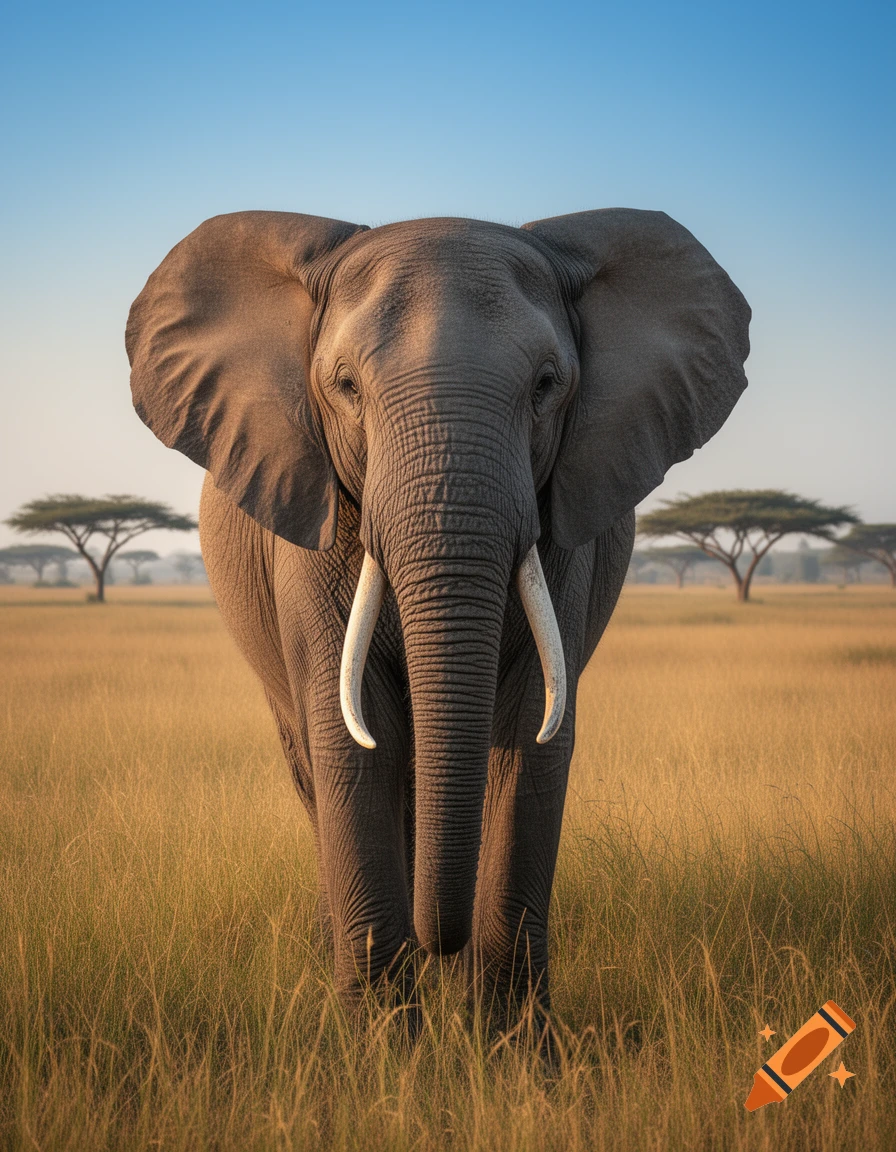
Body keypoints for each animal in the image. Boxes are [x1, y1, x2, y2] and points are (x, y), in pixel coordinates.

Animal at [126, 209, 750, 1027]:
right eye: (345, 387)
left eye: (546, 385)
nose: (438, 944)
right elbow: (353, 740)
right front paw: (381, 1047)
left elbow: (530, 734)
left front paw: (513, 1047)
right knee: (320, 767)